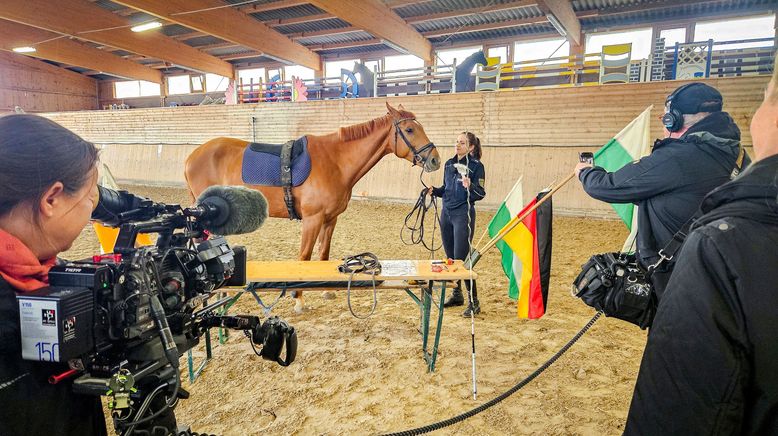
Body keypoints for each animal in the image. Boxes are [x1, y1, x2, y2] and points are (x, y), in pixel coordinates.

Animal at [182, 103, 436, 312]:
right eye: (410, 130)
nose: (435, 159)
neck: (336, 161)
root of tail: (191, 156)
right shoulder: (312, 220)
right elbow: (304, 258)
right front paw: (298, 299)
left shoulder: (330, 219)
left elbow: (323, 256)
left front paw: (326, 291)